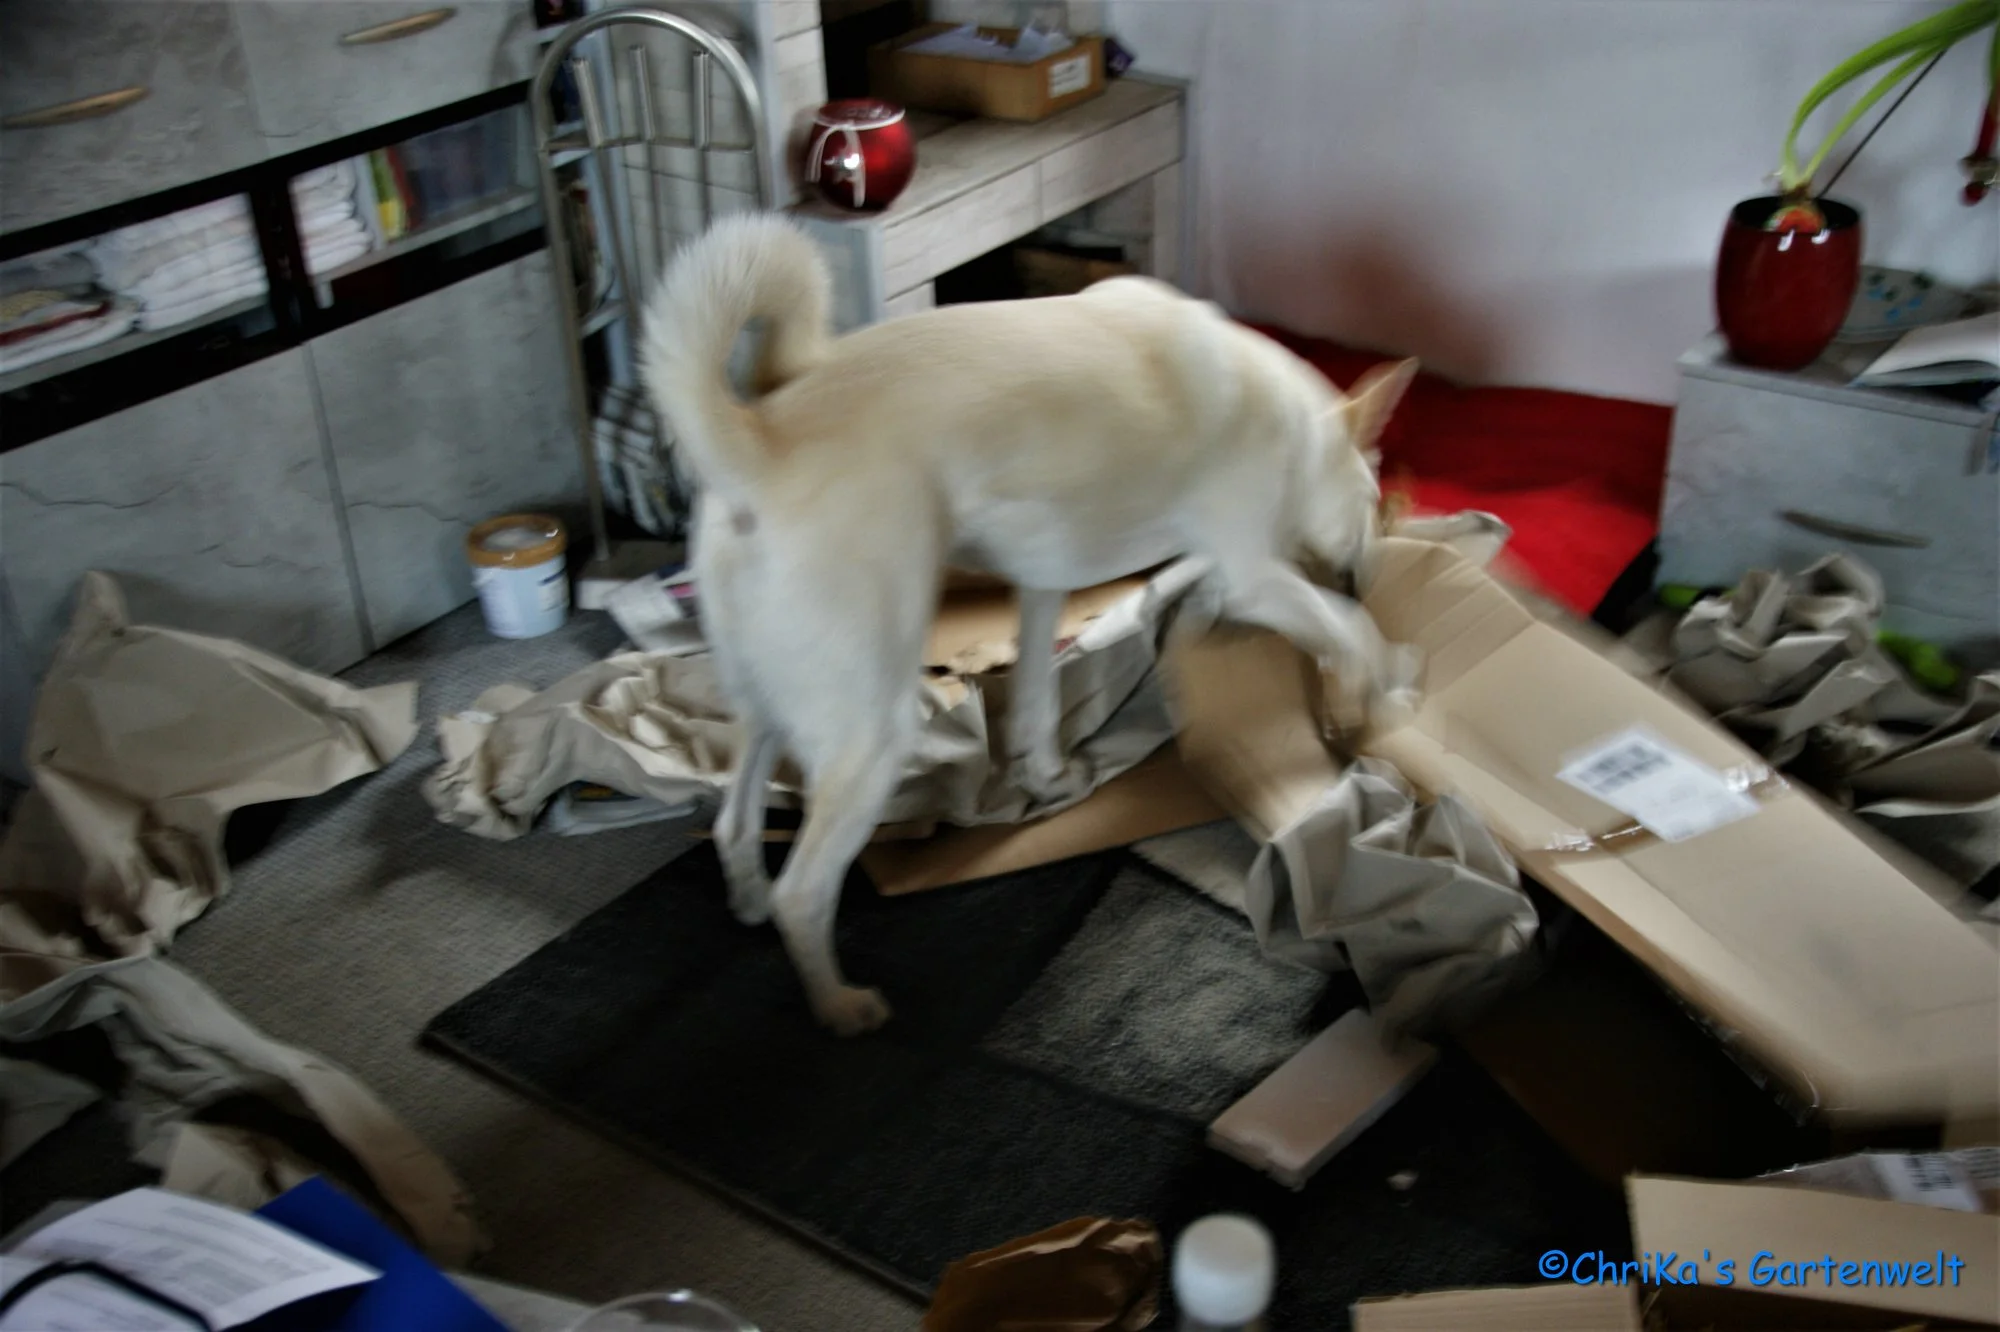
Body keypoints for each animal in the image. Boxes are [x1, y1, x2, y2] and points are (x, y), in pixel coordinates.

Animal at [641, 214, 1417, 1036]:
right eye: (1373, 499)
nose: (1365, 572)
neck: (1294, 427)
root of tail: (757, 443)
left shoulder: (1046, 581)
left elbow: (1040, 699)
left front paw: (1046, 776)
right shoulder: (1256, 574)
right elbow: (1347, 627)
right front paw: (1391, 684)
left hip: (765, 699)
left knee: (734, 822)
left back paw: (750, 902)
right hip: (870, 727)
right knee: (806, 890)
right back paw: (840, 1005)